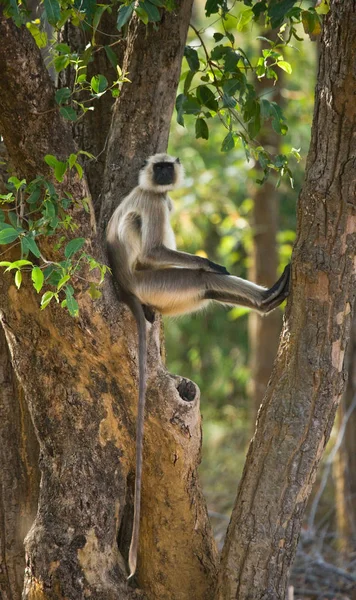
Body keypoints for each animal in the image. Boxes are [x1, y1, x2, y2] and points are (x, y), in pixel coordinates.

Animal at [105, 152, 290, 580]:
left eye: (166, 166)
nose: (162, 174)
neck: (153, 189)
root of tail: (126, 287)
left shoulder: (164, 199)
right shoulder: (155, 203)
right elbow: (155, 251)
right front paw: (211, 260)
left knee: (206, 288)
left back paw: (269, 298)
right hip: (158, 284)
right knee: (200, 279)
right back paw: (261, 291)